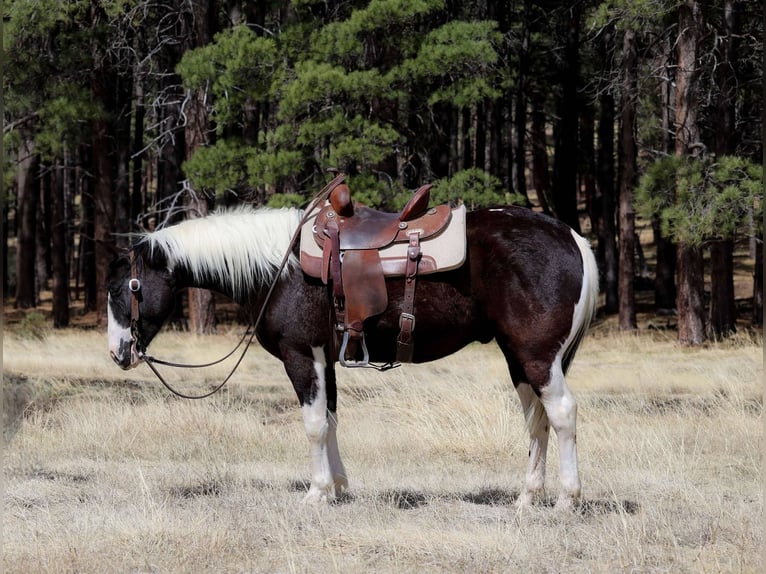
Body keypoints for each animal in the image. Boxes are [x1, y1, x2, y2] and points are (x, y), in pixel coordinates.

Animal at [107, 203, 599, 508]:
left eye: (122, 288)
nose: (118, 353)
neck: (279, 267)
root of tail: (572, 237)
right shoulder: (325, 359)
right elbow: (331, 419)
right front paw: (339, 488)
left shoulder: (300, 356)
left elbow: (312, 424)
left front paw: (316, 491)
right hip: (520, 359)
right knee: (536, 420)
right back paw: (527, 497)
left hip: (537, 357)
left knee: (562, 414)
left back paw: (566, 499)